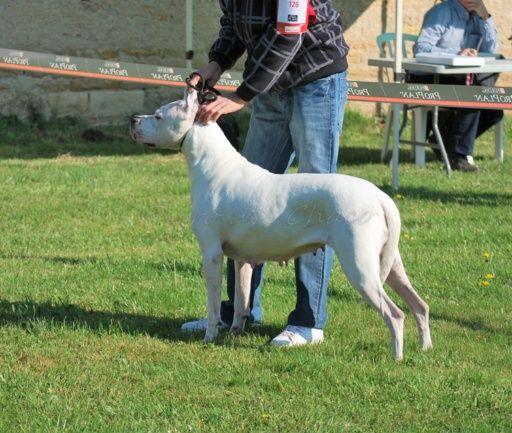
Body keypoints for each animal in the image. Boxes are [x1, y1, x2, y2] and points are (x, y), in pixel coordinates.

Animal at [131, 89, 432, 360]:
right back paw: (425, 348)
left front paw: (210, 335)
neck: (213, 165)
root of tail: (380, 197)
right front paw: (235, 332)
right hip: (390, 263)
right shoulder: (241, 260)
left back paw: (396, 357)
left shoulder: (211, 254)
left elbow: (213, 302)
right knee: (419, 305)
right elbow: (241, 299)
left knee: (396, 314)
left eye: (158, 116)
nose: (133, 119)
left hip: (360, 266)